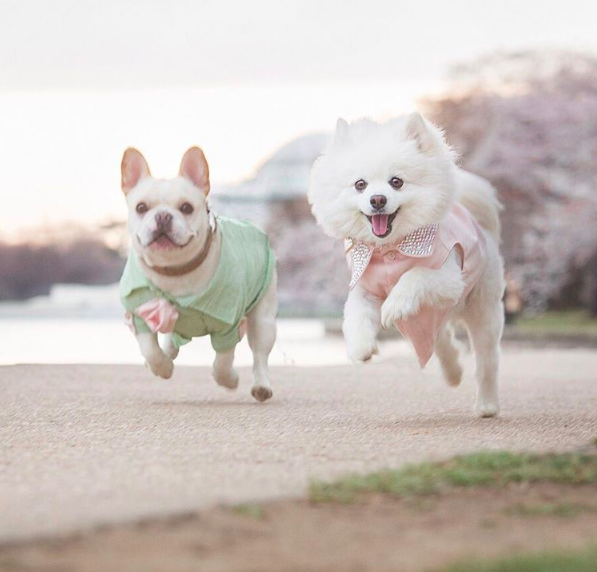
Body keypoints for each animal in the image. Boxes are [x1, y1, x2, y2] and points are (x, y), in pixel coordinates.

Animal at [310, 113, 506, 416]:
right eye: (360, 185)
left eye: (396, 182)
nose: (377, 199)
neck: (391, 248)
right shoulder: (365, 288)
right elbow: (356, 316)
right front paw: (361, 347)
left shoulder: (450, 278)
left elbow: (415, 275)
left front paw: (394, 305)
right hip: (437, 313)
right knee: (440, 338)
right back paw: (453, 371)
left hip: (482, 308)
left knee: (486, 359)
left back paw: (487, 405)